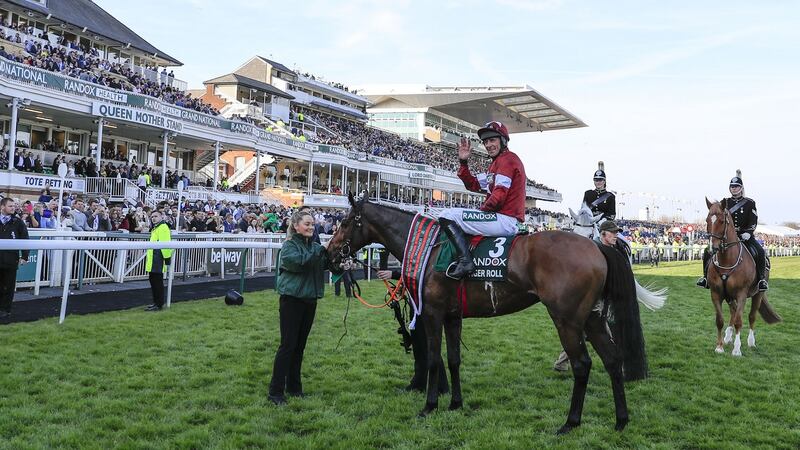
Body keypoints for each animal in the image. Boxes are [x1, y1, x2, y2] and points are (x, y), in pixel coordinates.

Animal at [328, 195, 664, 434]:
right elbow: (454, 359)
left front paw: (430, 405)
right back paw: (621, 420)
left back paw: (571, 422)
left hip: (567, 320)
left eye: (345, 222)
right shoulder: (452, 316)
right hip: (592, 319)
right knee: (612, 359)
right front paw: (455, 403)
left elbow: (435, 359)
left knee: (582, 365)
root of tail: (595, 248)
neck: (431, 247)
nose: (330, 252)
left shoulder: (432, 314)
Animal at [704, 199, 780, 356]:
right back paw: (728, 337)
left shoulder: (741, 294)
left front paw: (737, 349)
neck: (727, 259)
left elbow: (740, 320)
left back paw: (751, 342)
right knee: (733, 312)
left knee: (751, 316)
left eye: (721, 221)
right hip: (729, 296)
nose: (712, 248)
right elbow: (719, 320)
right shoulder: (716, 293)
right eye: (707, 220)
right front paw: (719, 347)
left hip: (758, 294)